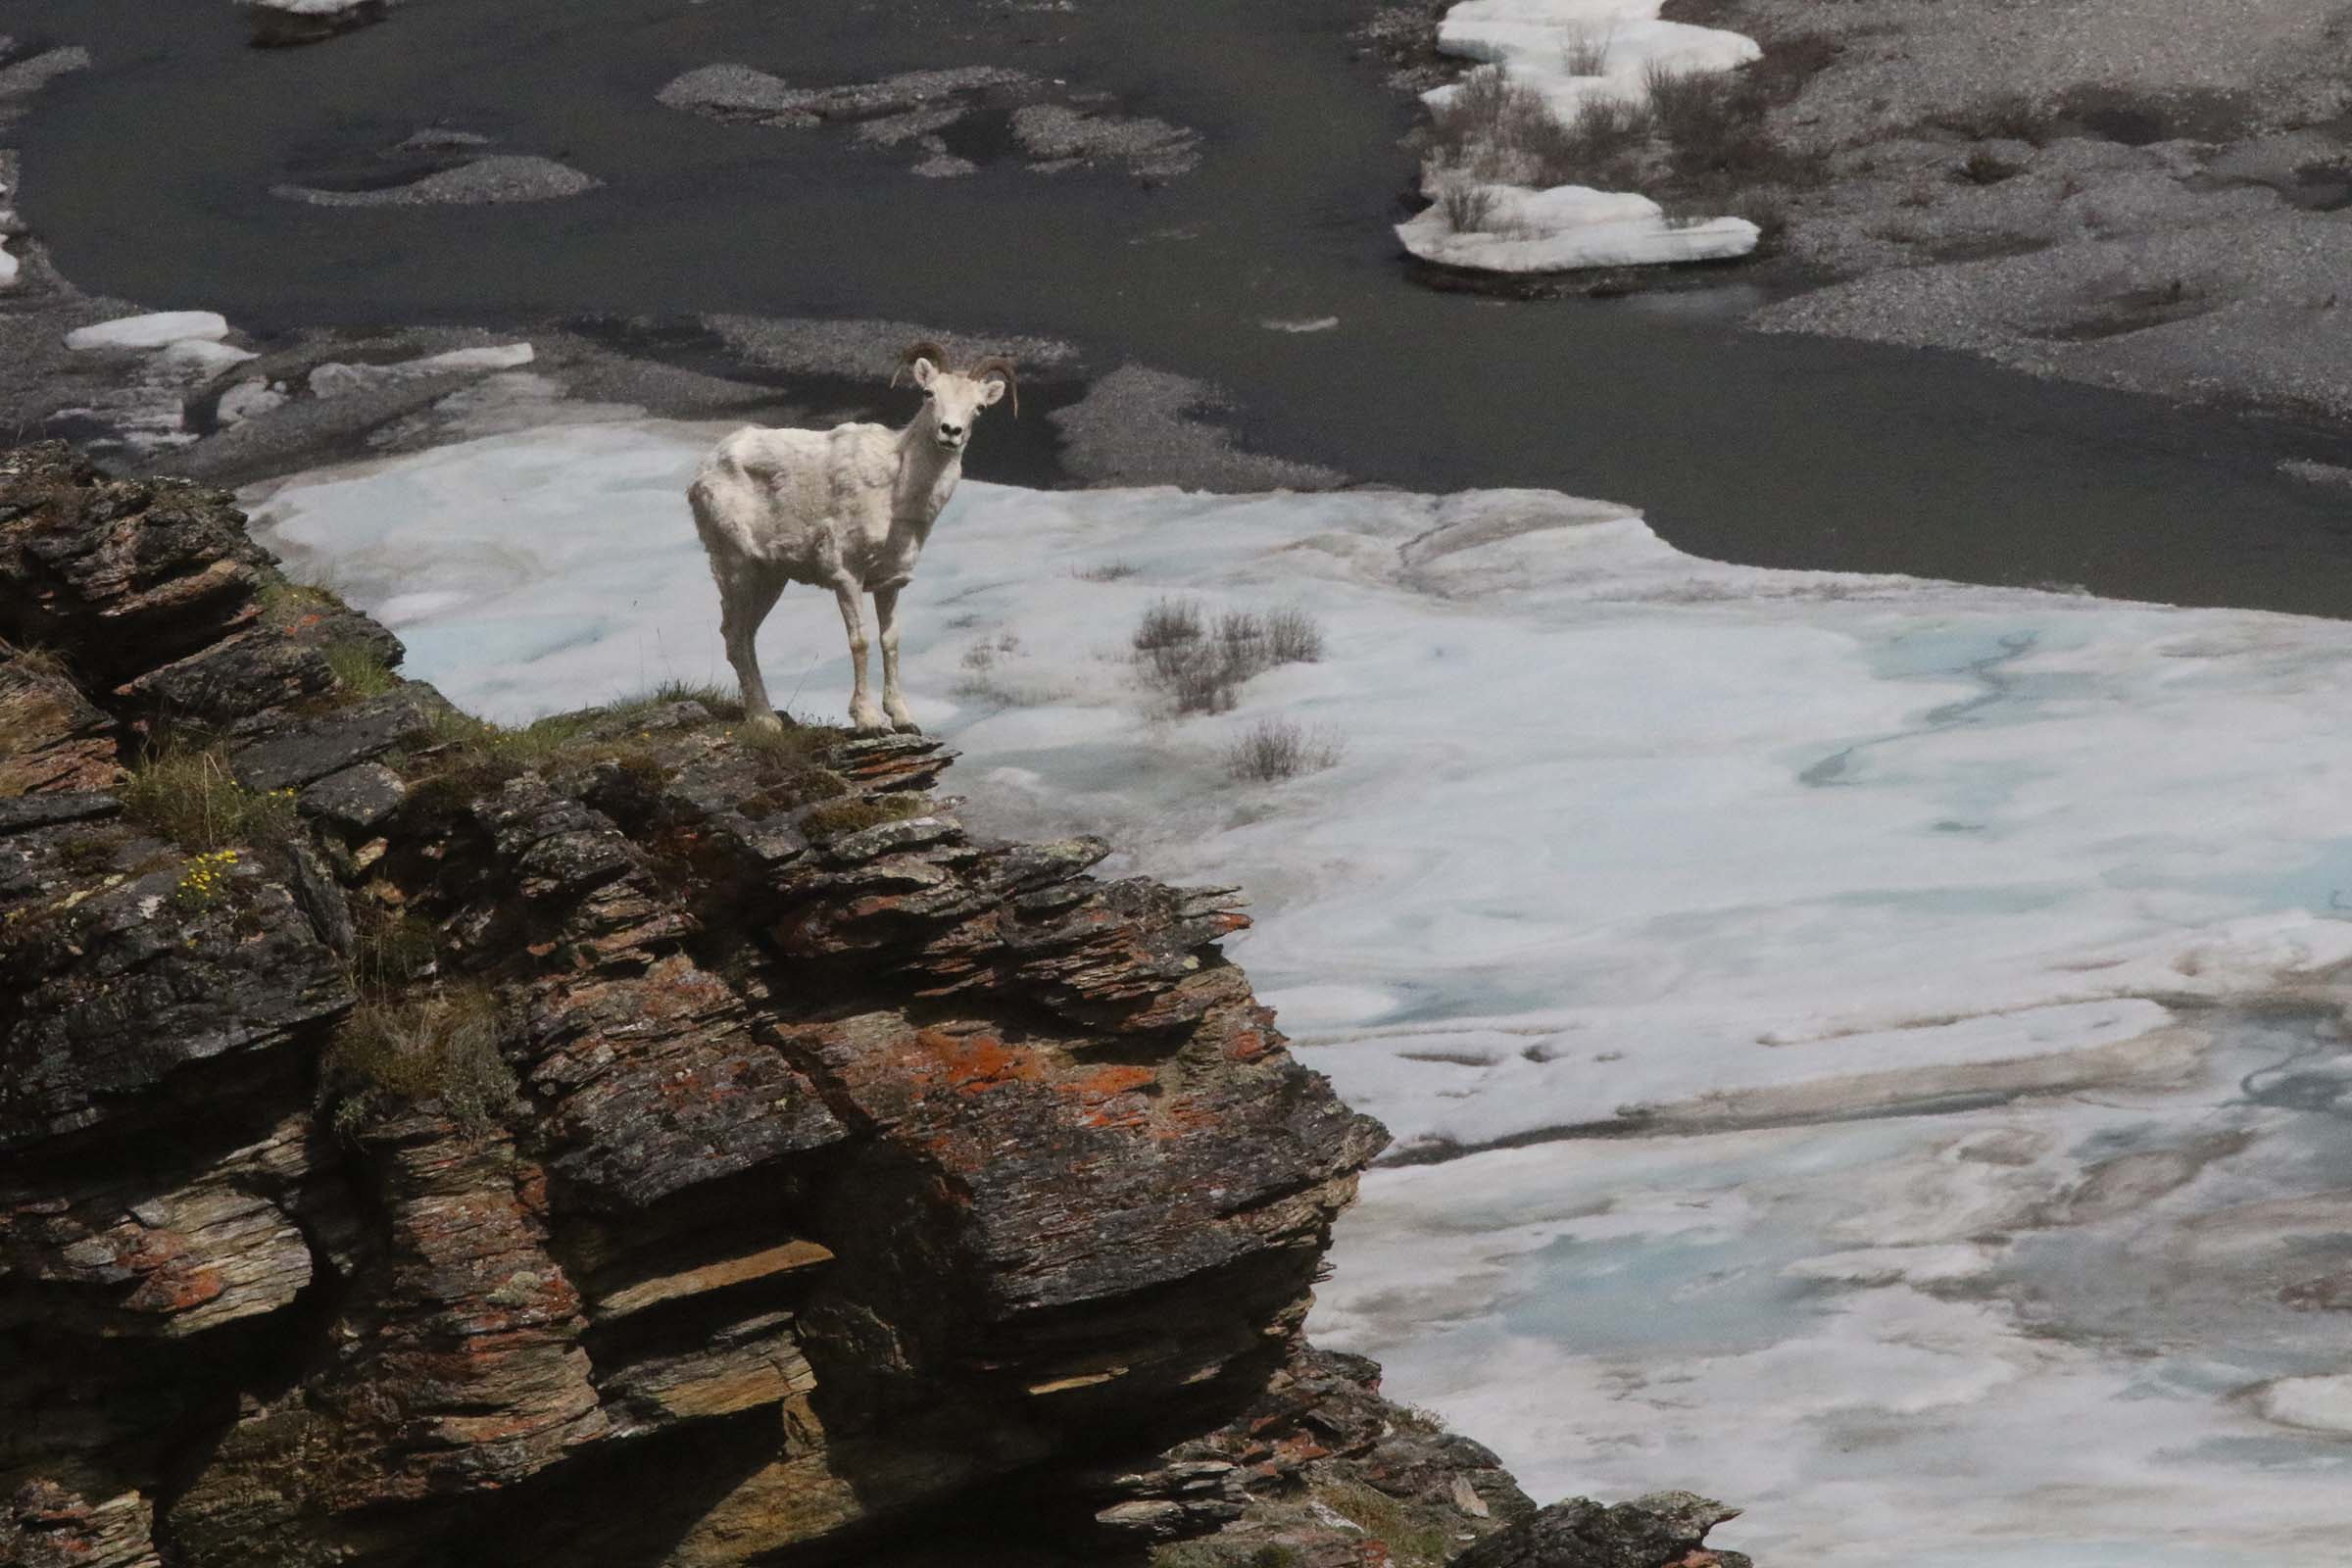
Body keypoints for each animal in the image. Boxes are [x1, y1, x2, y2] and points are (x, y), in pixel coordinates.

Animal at [688, 341, 1016, 735]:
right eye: (929, 393)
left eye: (979, 408)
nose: (950, 432)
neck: (897, 492)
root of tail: (704, 473)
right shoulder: (846, 576)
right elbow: (859, 642)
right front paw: (869, 720)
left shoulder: (890, 583)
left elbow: (890, 642)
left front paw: (903, 718)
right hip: (737, 568)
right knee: (735, 636)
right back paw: (765, 720)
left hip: (770, 579)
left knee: (745, 635)